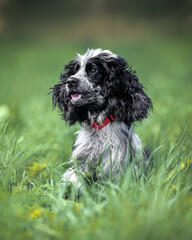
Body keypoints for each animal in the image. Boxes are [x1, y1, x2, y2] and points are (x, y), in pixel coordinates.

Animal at [51, 48, 153, 190]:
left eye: (93, 70)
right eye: (75, 70)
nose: (70, 81)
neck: (98, 126)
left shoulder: (116, 165)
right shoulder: (81, 165)